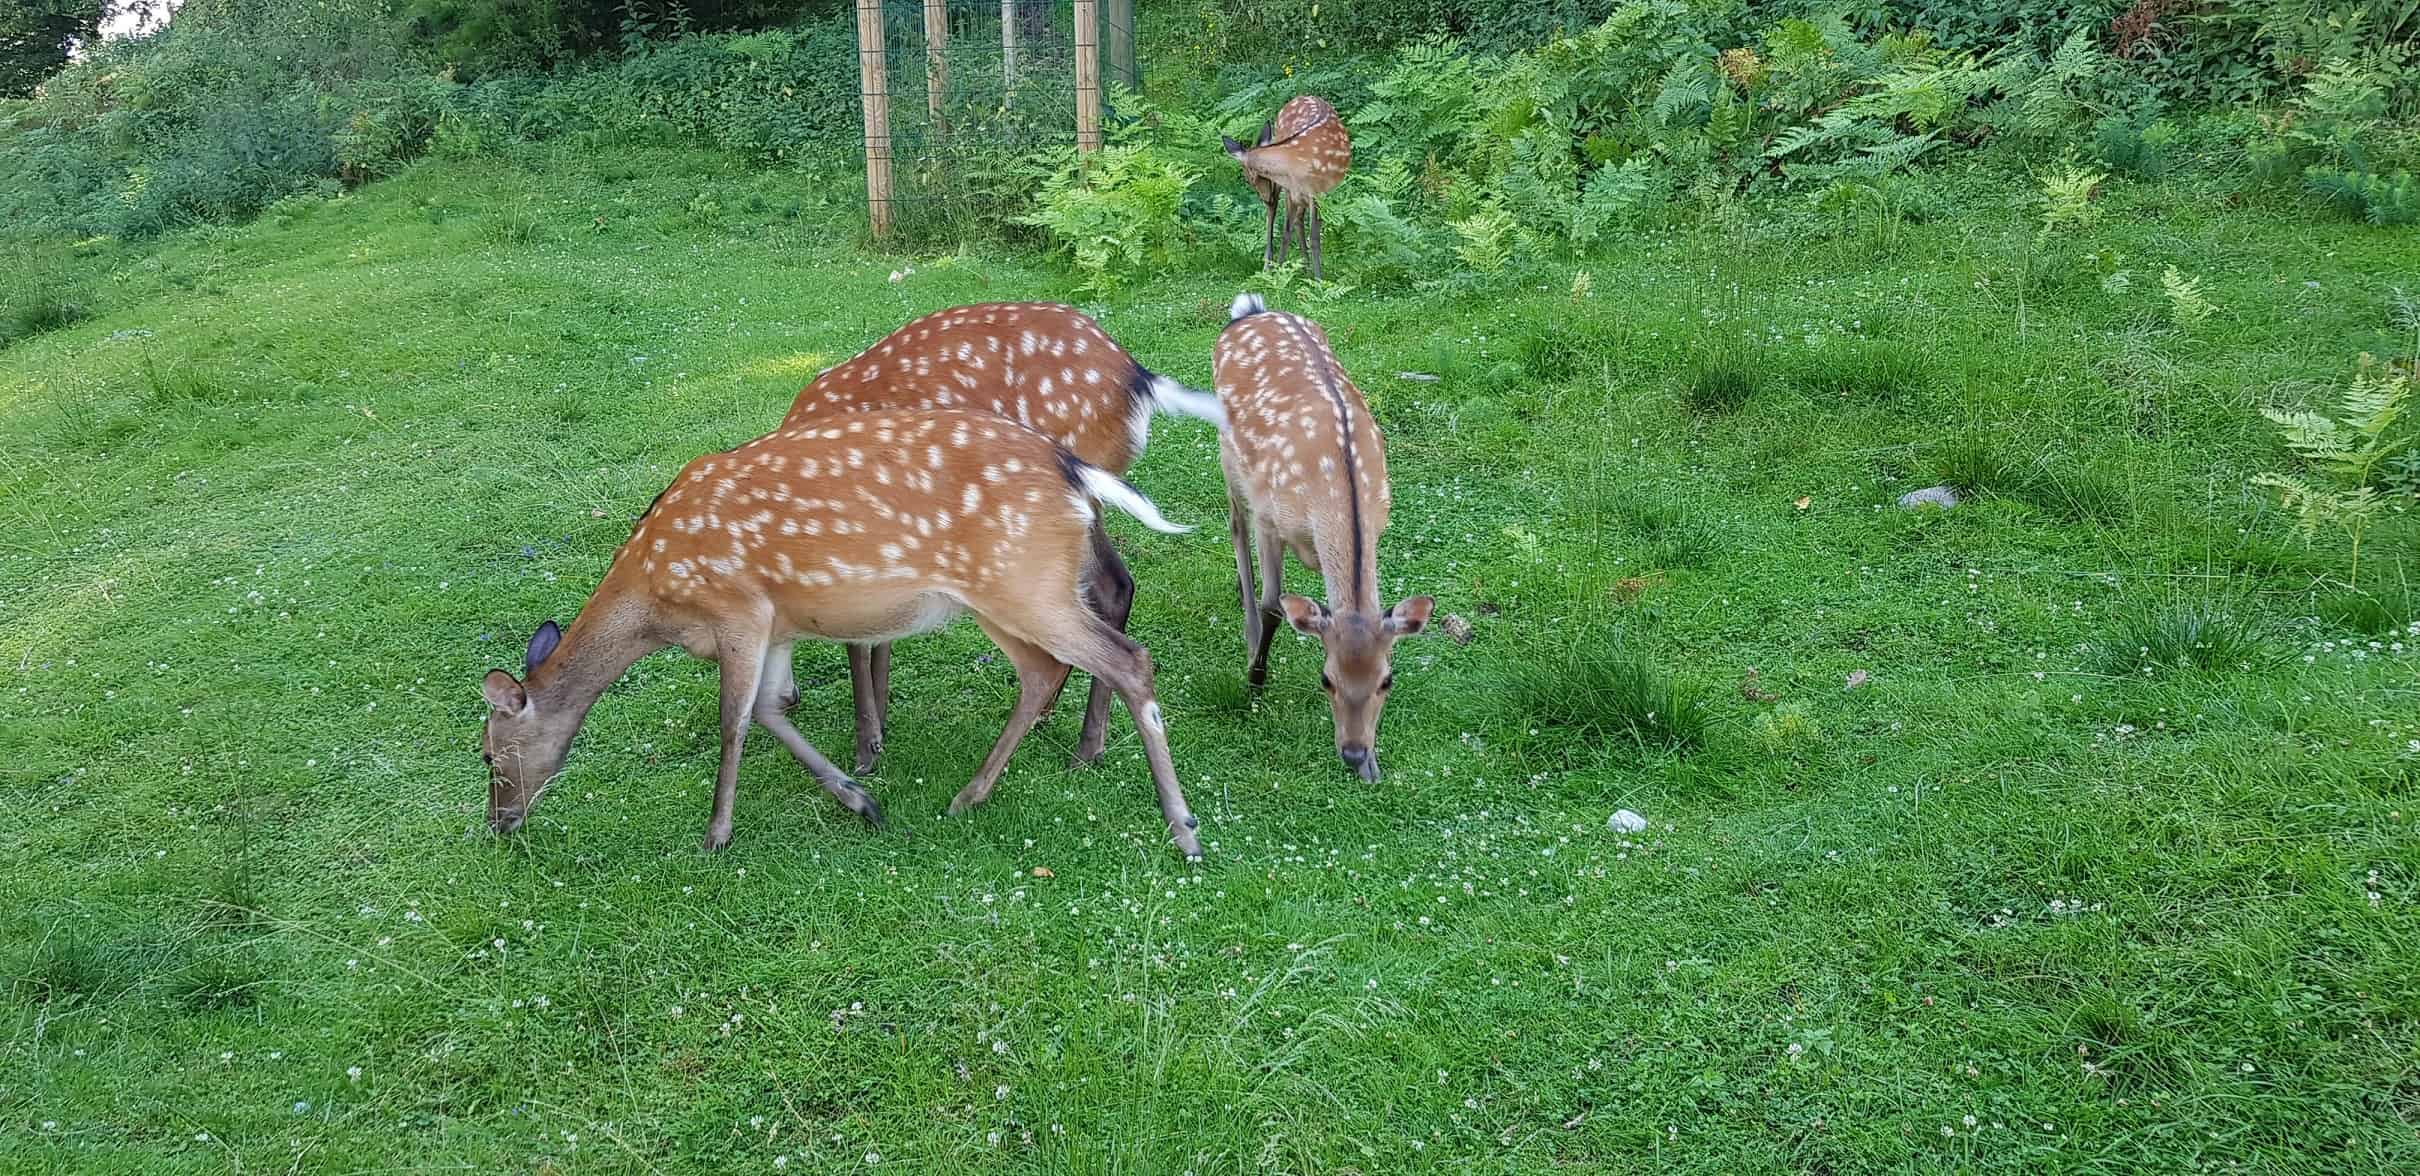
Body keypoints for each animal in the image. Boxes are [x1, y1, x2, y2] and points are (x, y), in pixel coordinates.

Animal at [479, 408, 1210, 861]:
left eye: (486, 755)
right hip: (1007, 593)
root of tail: (1074, 470)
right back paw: (969, 795)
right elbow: (771, 709)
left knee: (1129, 659)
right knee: (1043, 671)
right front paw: (861, 800)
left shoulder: (737, 608)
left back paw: (1184, 829)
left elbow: (733, 721)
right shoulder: (776, 624)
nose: (499, 824)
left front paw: (716, 834)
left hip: (1022, 582)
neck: (656, 601)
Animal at [779, 303, 1219, 774]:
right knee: (1114, 589)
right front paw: (881, 725)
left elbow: (857, 641)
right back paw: (1066, 726)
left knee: (1107, 590)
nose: (789, 696)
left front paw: (866, 748)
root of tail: (1139, 378)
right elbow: (881, 634)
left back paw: (1083, 745)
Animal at [1219, 95, 1355, 279]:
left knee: (1299, 219)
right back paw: (1272, 266)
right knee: (1283, 216)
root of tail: (1302, 95)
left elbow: (1314, 236)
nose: (1265, 198)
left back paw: (1305, 268)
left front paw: (1318, 279)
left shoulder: (1316, 192)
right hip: (1285, 188)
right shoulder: (1291, 190)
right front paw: (1279, 273)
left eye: (1248, 178)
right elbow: (1285, 232)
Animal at [1219, 292, 1422, 779]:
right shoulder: (1270, 518)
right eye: (1325, 678)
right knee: (1235, 523)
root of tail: (1250, 311)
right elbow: (1274, 605)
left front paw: (1374, 766)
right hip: (1227, 454)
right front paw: (1255, 677)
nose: (1354, 753)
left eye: (1387, 679)